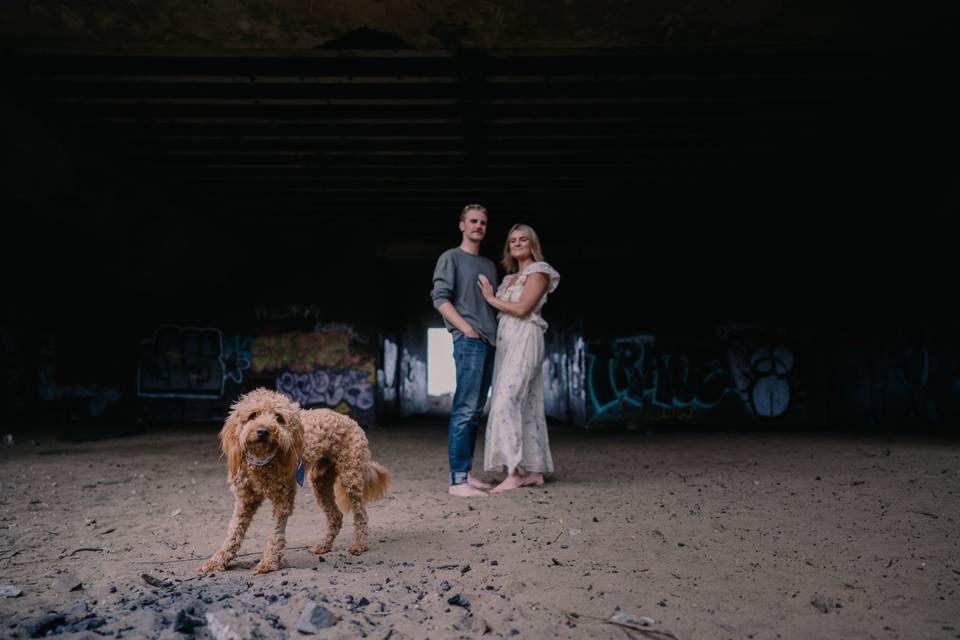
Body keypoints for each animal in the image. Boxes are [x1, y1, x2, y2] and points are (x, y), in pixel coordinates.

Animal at [199, 388, 390, 576]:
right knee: (336, 516)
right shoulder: (245, 499)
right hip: (320, 482)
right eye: (253, 415)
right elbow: (234, 532)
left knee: (360, 513)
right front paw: (218, 560)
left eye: (279, 418)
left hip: (350, 476)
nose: (263, 431)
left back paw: (359, 544)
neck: (262, 461)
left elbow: (276, 533)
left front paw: (268, 562)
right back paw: (324, 545)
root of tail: (349, 419)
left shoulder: (282, 498)